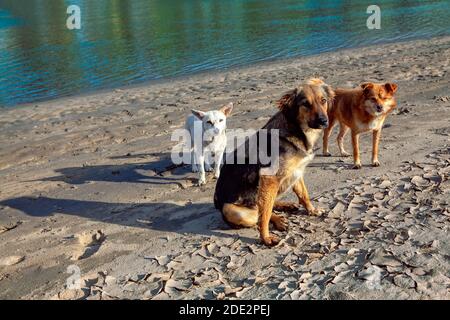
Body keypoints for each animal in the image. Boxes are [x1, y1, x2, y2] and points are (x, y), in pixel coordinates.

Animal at [214, 79, 334, 246]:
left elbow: (304, 195)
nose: (324, 121)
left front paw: (312, 210)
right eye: (305, 104)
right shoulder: (269, 179)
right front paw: (265, 237)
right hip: (232, 210)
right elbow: (264, 214)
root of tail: (216, 203)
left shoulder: (296, 171)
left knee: (264, 205)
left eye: (323, 101)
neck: (298, 130)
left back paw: (286, 206)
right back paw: (277, 219)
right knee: (259, 212)